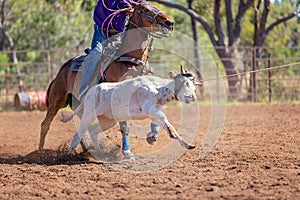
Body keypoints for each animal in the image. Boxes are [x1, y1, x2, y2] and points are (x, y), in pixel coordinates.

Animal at [38, 1, 173, 150]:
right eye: (145, 9)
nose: (169, 22)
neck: (130, 60)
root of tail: (61, 70)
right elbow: (124, 125)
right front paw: (127, 150)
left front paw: (153, 135)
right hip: (57, 99)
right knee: (45, 124)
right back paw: (40, 152)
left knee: (82, 125)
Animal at [62, 69, 199, 155]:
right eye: (183, 82)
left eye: (193, 86)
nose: (192, 97)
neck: (157, 89)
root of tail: (91, 91)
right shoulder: (151, 109)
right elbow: (168, 123)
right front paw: (173, 134)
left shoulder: (154, 114)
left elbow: (165, 124)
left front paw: (188, 145)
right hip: (89, 114)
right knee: (78, 134)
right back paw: (69, 154)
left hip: (108, 120)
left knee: (93, 131)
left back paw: (100, 154)